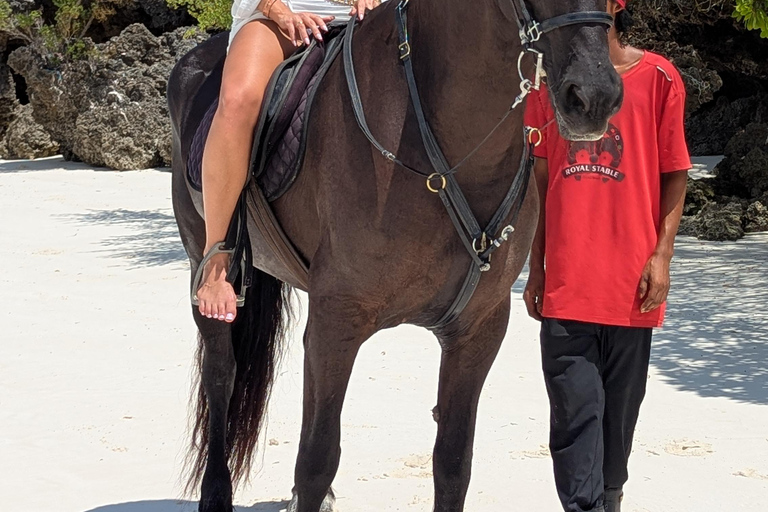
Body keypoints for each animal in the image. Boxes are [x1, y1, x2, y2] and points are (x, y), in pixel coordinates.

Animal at [168, 0, 623, 511]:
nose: (595, 96)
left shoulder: (478, 332)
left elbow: (452, 462)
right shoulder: (337, 325)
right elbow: (317, 459)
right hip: (202, 263)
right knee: (220, 374)